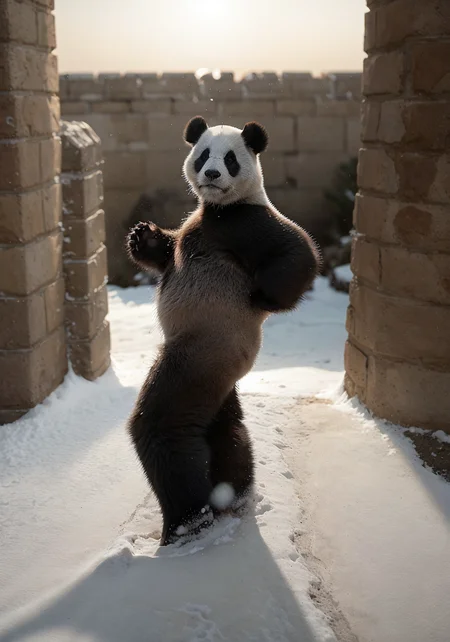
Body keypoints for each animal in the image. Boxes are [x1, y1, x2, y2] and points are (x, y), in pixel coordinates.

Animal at [126, 116, 320, 546]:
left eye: (230, 159)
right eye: (203, 155)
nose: (212, 175)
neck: (218, 206)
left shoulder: (244, 223)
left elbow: (299, 250)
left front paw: (262, 297)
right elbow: (166, 254)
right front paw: (141, 236)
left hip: (197, 357)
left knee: (165, 424)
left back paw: (186, 525)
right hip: (217, 376)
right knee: (226, 428)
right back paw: (235, 494)